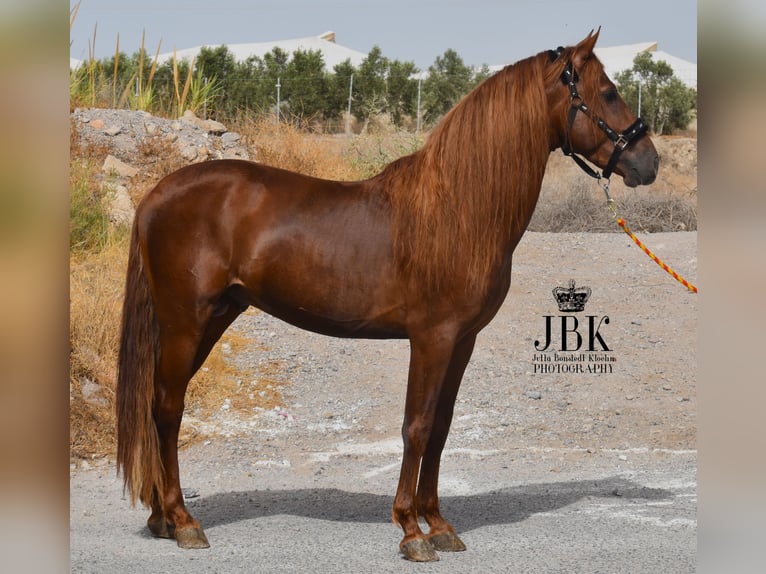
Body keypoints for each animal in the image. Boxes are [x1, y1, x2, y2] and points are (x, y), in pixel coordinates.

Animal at [117, 30, 656, 564]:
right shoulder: (432, 338)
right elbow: (416, 425)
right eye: (608, 92)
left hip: (214, 318)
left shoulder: (463, 341)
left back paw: (161, 519)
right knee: (168, 407)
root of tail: (156, 194)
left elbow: (441, 427)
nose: (649, 161)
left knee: (158, 405)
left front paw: (439, 525)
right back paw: (183, 520)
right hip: (186, 322)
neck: (459, 208)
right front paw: (411, 530)